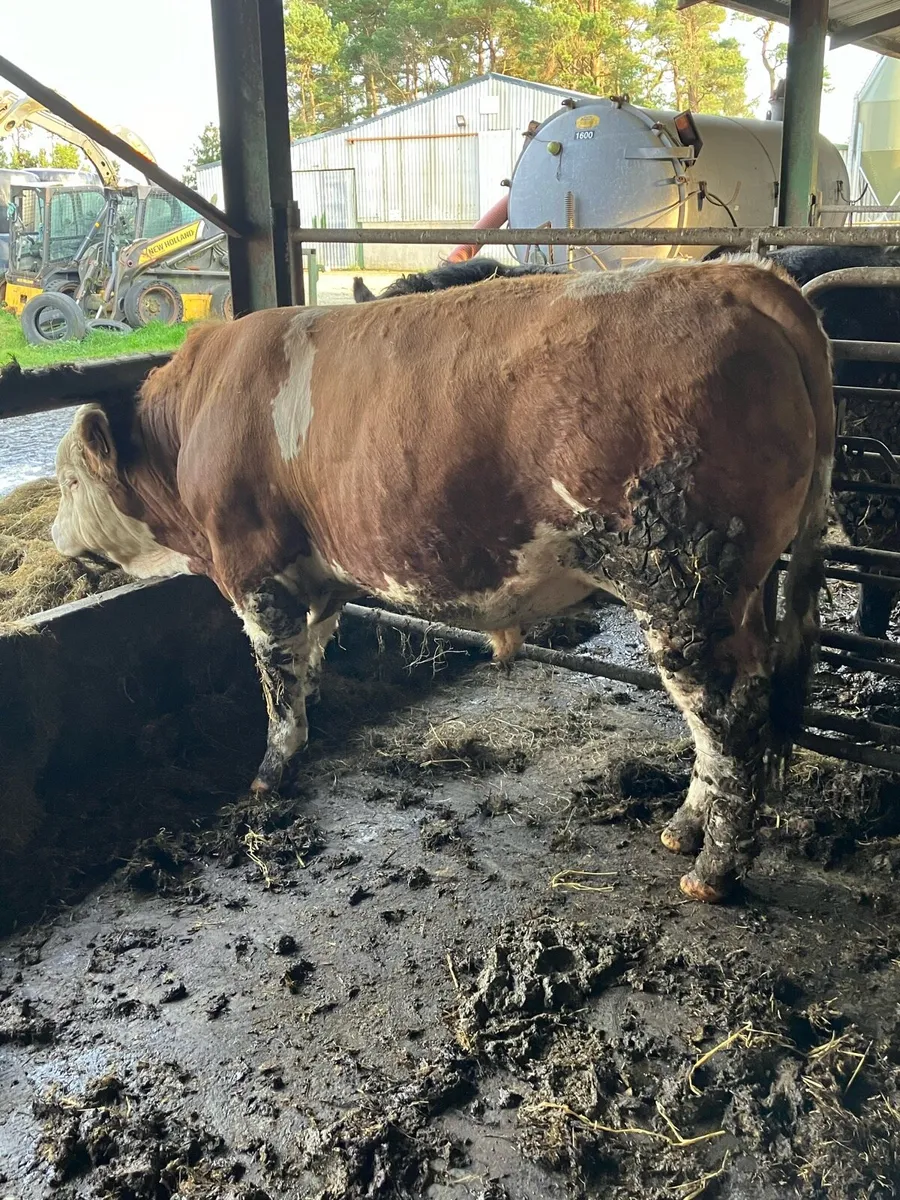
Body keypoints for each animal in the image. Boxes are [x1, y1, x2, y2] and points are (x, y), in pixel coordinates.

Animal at [51, 260, 834, 903]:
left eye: (67, 481)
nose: (55, 536)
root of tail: (737, 277)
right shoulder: (315, 578)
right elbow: (307, 664)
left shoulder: (254, 569)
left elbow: (275, 680)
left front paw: (270, 773)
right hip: (737, 593)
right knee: (727, 713)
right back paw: (683, 828)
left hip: (682, 588)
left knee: (726, 716)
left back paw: (713, 870)